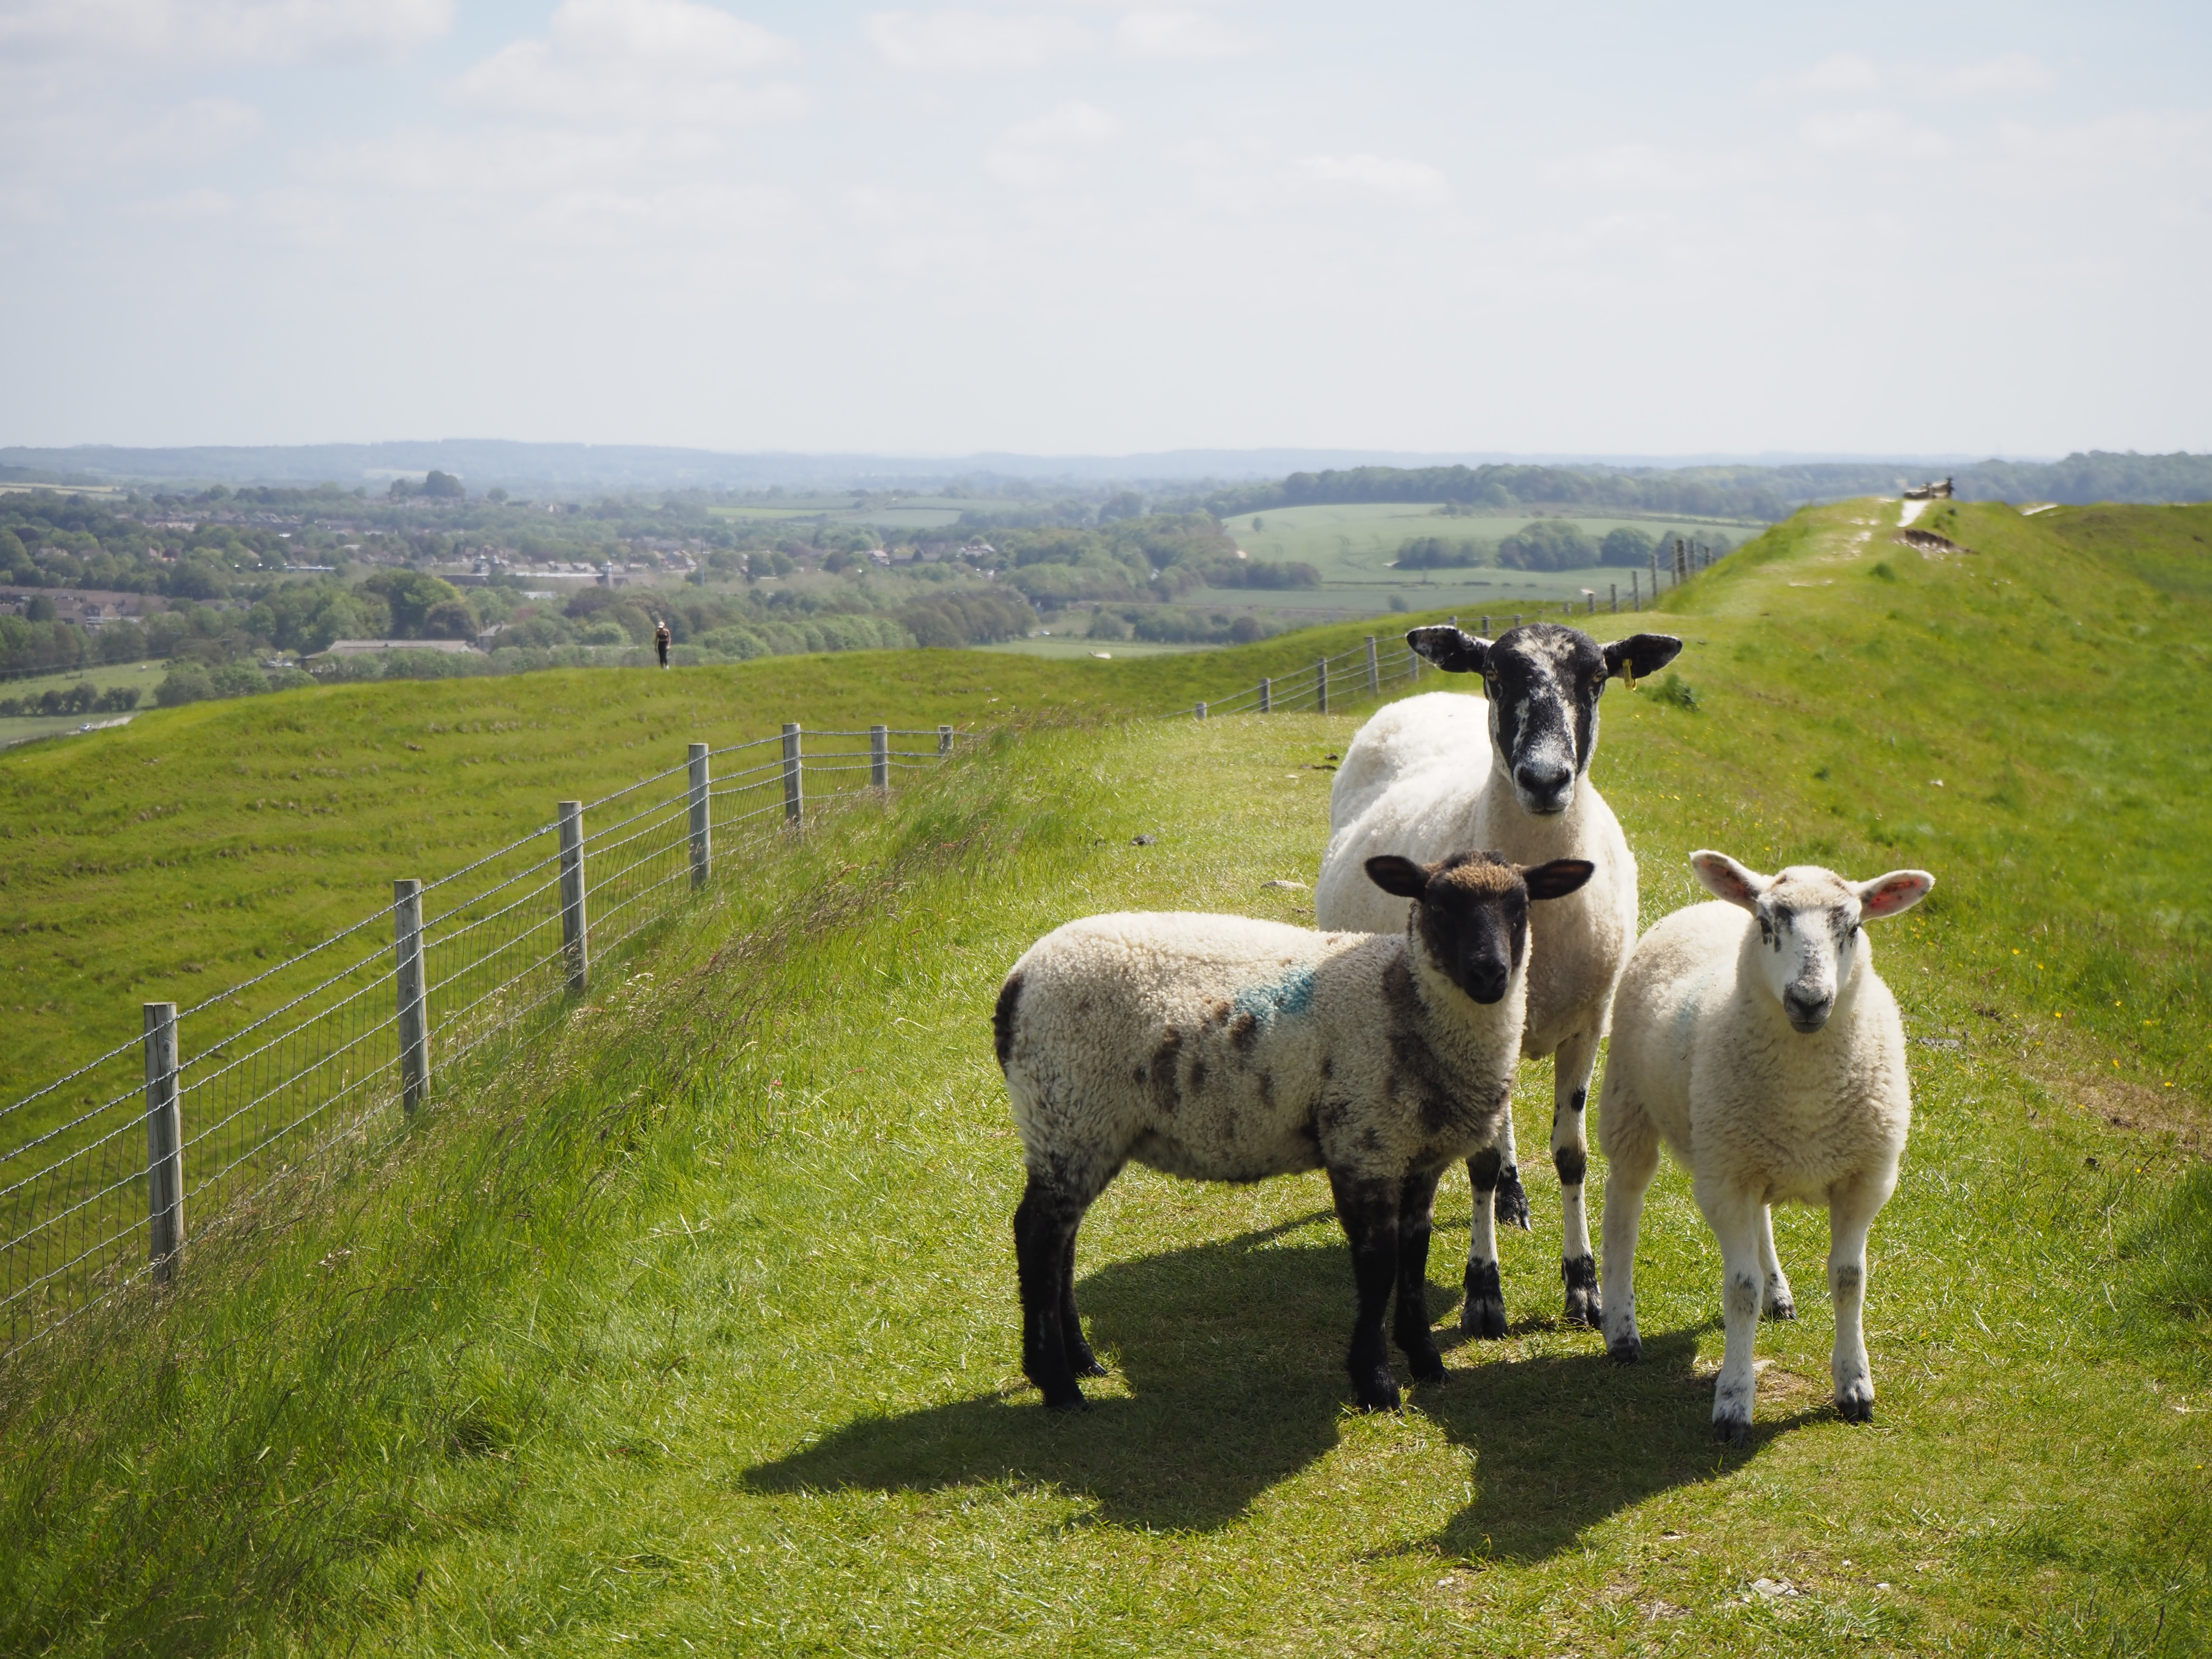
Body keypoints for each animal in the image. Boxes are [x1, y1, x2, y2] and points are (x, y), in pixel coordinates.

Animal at [1000, 858, 1592, 1415]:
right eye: (1440, 906)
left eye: (1520, 907)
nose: (1490, 974)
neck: (1402, 997)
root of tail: (1017, 983)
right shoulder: (1362, 1142)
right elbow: (1378, 1265)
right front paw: (1376, 1383)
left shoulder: (1420, 1156)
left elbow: (1415, 1256)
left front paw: (1426, 1362)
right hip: (1068, 1108)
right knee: (1037, 1236)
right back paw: (1058, 1385)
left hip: (1084, 1127)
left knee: (1062, 1244)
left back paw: (1082, 1361)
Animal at [1309, 623, 1672, 1336]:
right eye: (1496, 678)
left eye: (1598, 679)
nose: (1545, 779)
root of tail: (1426, 698)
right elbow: (1476, 1161)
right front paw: (1484, 1294)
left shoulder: (1590, 1023)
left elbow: (1572, 1155)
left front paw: (1584, 1287)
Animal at [1592, 858, 1938, 1442]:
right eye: (1767, 925)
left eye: (1854, 928)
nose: (1809, 1001)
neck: (1806, 1101)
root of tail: (1708, 905)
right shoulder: (1725, 1183)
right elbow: (1740, 1290)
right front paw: (1734, 1400)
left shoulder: (1863, 1181)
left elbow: (1849, 1280)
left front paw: (1855, 1386)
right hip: (1631, 1102)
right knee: (1623, 1209)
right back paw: (1622, 1329)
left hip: (1745, 1145)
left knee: (1762, 1221)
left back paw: (1779, 1293)